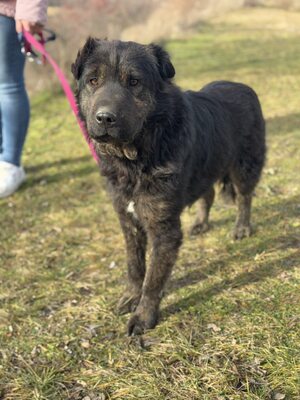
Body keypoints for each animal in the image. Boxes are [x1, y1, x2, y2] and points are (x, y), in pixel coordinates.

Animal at [72, 39, 264, 334]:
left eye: (134, 81)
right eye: (93, 80)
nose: (105, 118)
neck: (137, 159)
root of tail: (243, 86)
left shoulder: (163, 228)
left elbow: (153, 278)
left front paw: (143, 316)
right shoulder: (128, 219)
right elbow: (134, 266)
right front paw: (131, 297)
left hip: (244, 166)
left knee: (244, 198)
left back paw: (242, 227)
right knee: (207, 194)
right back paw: (201, 223)